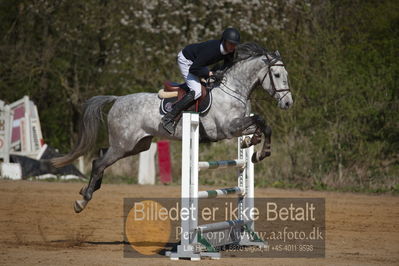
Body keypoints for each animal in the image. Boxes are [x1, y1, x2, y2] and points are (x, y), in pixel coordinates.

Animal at [50, 44, 294, 214]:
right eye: (278, 75)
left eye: (286, 75)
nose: (288, 103)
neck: (233, 89)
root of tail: (117, 99)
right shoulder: (227, 129)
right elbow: (261, 121)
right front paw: (261, 151)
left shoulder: (238, 125)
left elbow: (261, 124)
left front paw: (256, 147)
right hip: (123, 144)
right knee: (99, 163)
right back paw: (82, 200)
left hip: (135, 145)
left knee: (100, 157)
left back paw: (86, 190)